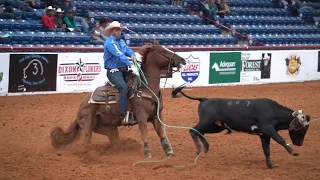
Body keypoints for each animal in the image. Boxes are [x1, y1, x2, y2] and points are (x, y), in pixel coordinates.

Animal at [50, 42, 188, 158]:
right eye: (163, 51)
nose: (182, 60)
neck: (146, 87)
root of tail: (81, 106)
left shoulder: (156, 115)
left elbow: (161, 133)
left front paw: (169, 150)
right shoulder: (141, 116)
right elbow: (144, 132)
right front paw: (147, 152)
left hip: (109, 128)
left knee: (114, 141)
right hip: (87, 124)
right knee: (87, 143)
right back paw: (91, 155)